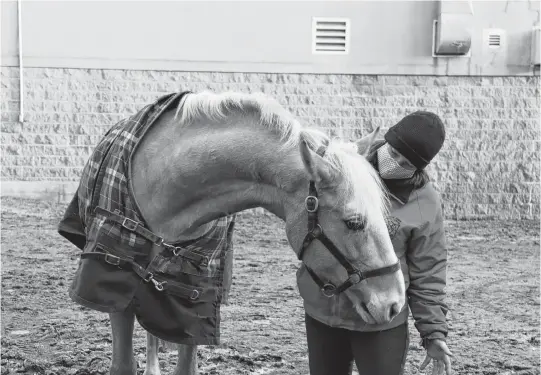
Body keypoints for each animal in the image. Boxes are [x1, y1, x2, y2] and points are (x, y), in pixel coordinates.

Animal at [63, 92, 402, 375]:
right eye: (354, 222)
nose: (394, 304)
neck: (167, 182)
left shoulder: (191, 299)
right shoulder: (112, 279)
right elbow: (123, 363)